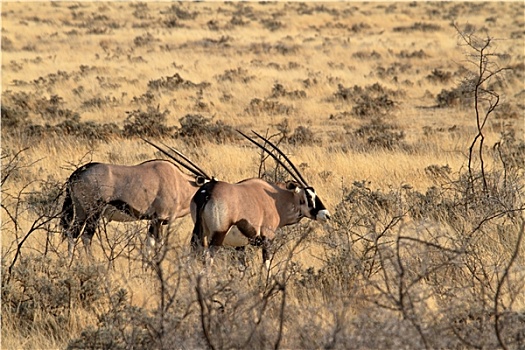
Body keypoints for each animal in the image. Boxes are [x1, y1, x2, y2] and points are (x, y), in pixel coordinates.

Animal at [62, 140, 215, 260]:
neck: (180, 182)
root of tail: (78, 173)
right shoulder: (159, 218)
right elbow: (158, 244)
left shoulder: (153, 220)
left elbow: (149, 244)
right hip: (94, 212)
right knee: (86, 236)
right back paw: (91, 262)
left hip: (81, 211)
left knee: (72, 233)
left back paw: (69, 262)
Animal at [190, 130, 330, 270]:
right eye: (309, 196)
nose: (326, 215)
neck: (276, 200)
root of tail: (208, 192)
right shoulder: (267, 238)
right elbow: (266, 265)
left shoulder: (240, 246)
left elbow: (242, 267)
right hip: (218, 235)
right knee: (208, 259)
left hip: (201, 235)